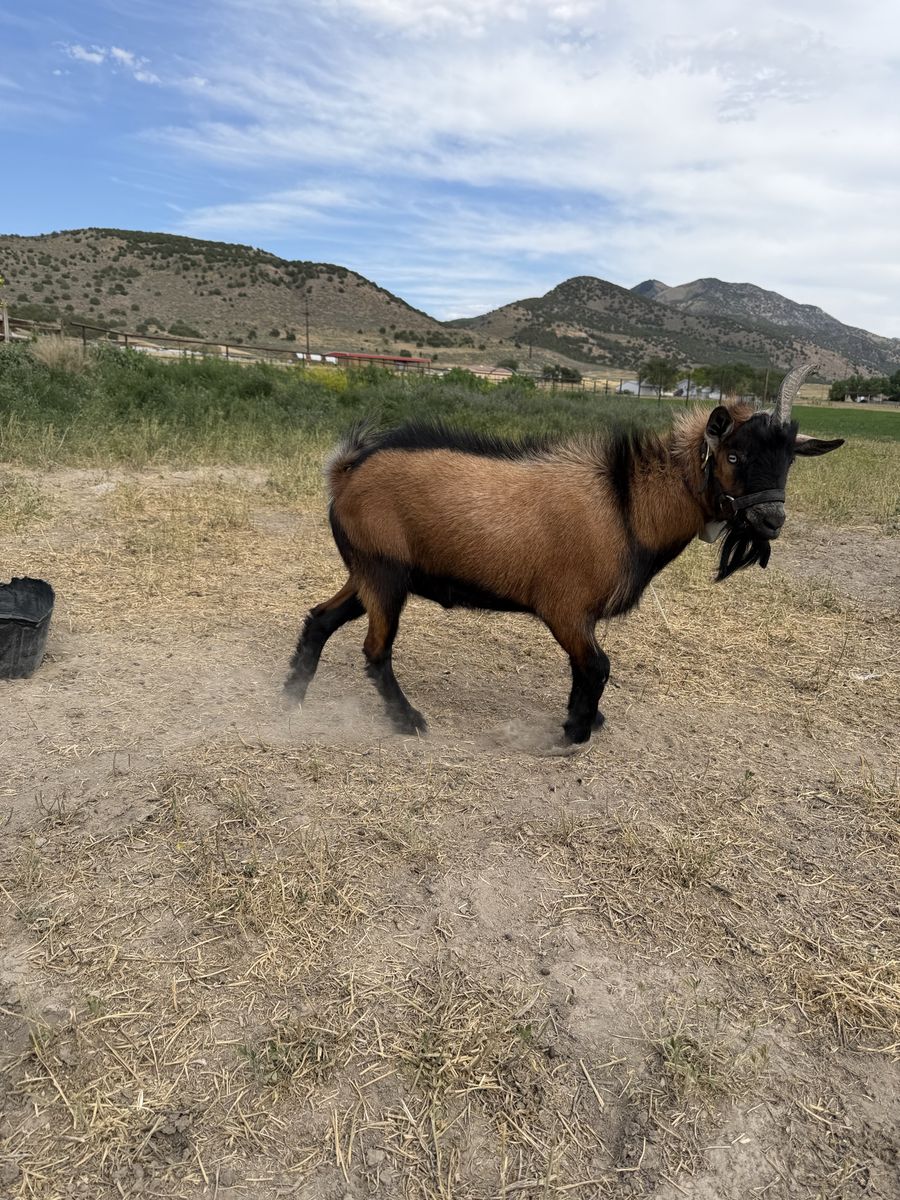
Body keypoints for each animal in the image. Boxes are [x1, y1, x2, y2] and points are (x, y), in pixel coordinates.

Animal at [284, 365, 843, 744]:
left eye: (789, 460)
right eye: (733, 455)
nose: (771, 520)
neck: (627, 505)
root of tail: (346, 471)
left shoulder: (581, 617)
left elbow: (585, 669)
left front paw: (587, 718)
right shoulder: (565, 609)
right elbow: (597, 666)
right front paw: (573, 732)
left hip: (367, 569)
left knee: (320, 618)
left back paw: (291, 696)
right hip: (385, 571)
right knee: (375, 651)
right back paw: (407, 720)